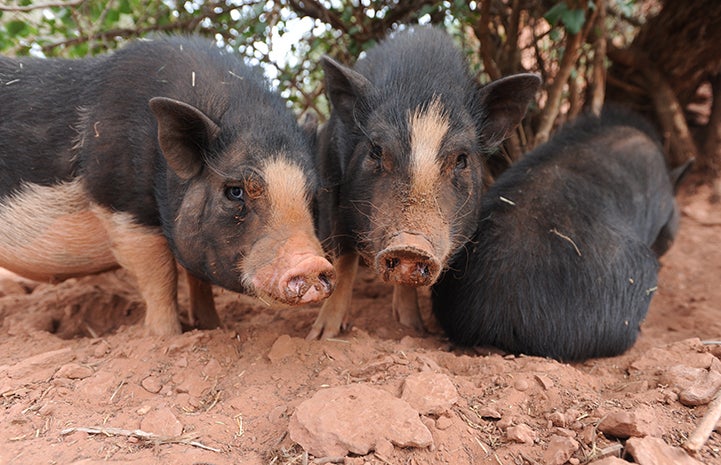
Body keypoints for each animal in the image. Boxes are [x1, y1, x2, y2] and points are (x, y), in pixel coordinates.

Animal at [0, 35, 336, 334]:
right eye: (235, 191)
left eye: (312, 197)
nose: (312, 264)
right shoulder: (126, 209)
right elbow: (161, 278)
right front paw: (167, 336)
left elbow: (196, 279)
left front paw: (213, 327)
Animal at [310, 27, 540, 338]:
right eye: (375, 150)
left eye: (462, 159)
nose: (410, 246)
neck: (422, 81)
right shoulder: (338, 192)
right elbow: (345, 261)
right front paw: (322, 335)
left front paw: (413, 329)